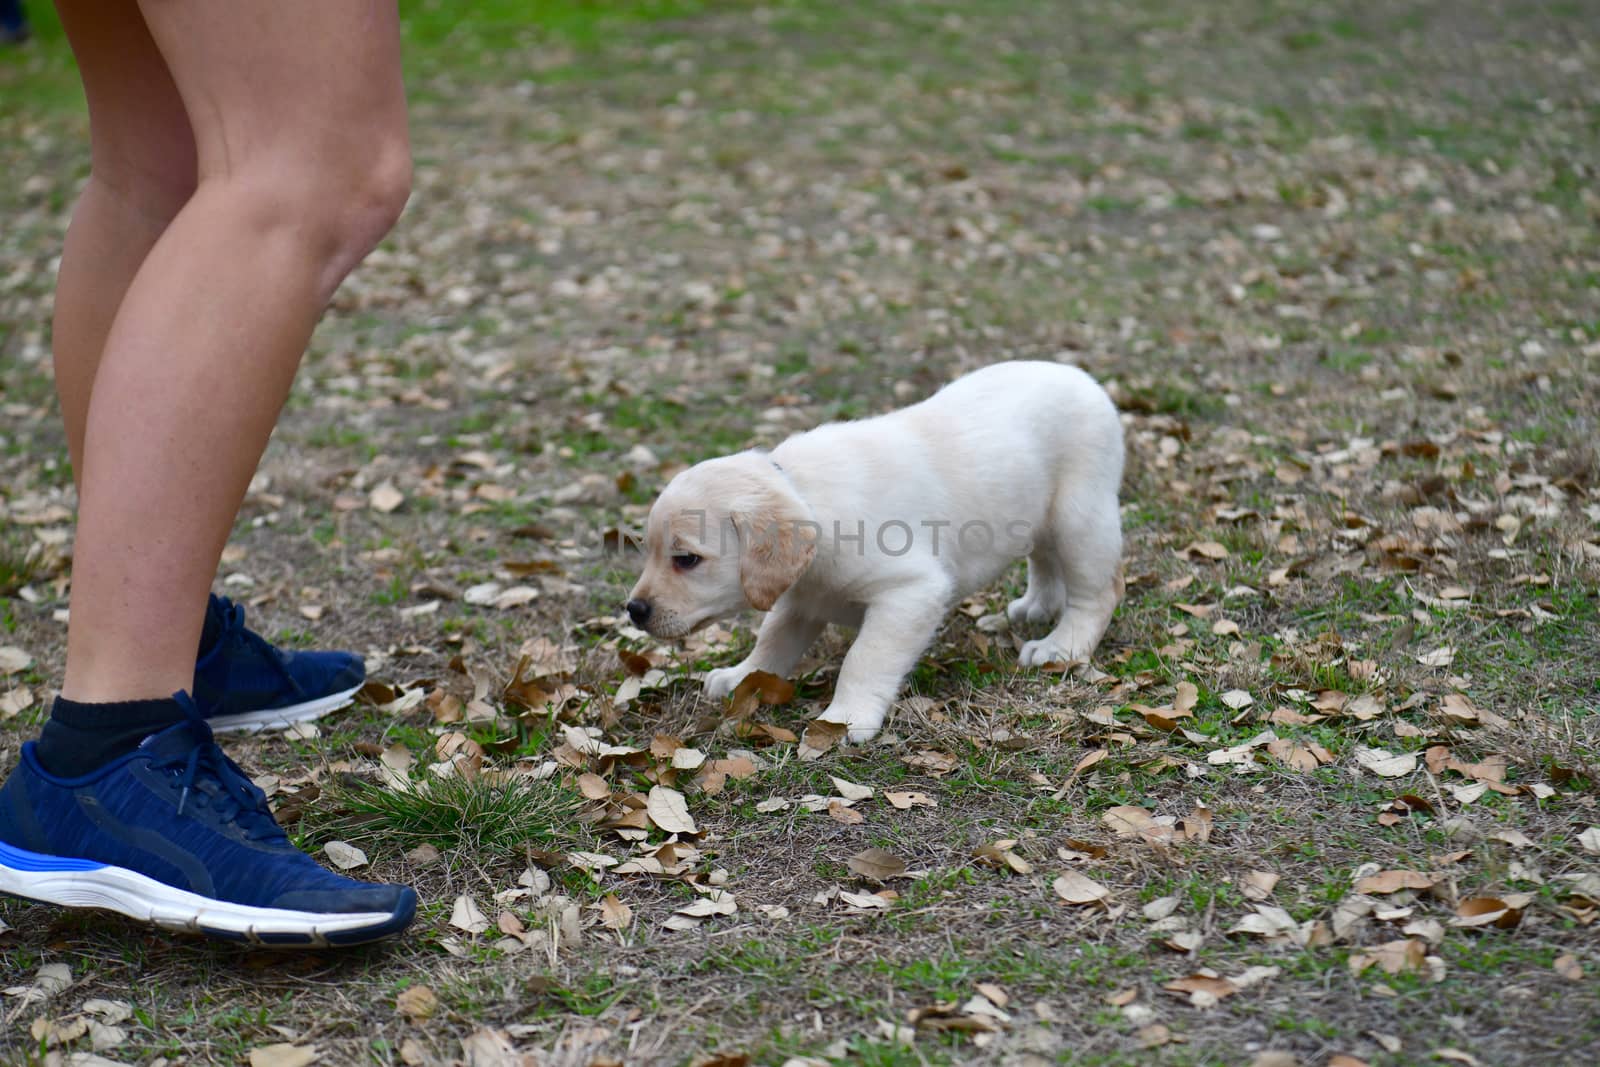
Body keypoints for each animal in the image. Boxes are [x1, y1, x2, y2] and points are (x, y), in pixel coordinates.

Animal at [624, 358, 1126, 742]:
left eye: (686, 559)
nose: (634, 610)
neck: (807, 496)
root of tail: (1076, 373)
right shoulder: (800, 601)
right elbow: (771, 643)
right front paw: (741, 676)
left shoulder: (911, 592)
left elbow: (864, 658)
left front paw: (846, 717)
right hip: (1038, 517)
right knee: (1044, 560)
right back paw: (1034, 607)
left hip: (1080, 517)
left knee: (1098, 592)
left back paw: (1062, 644)